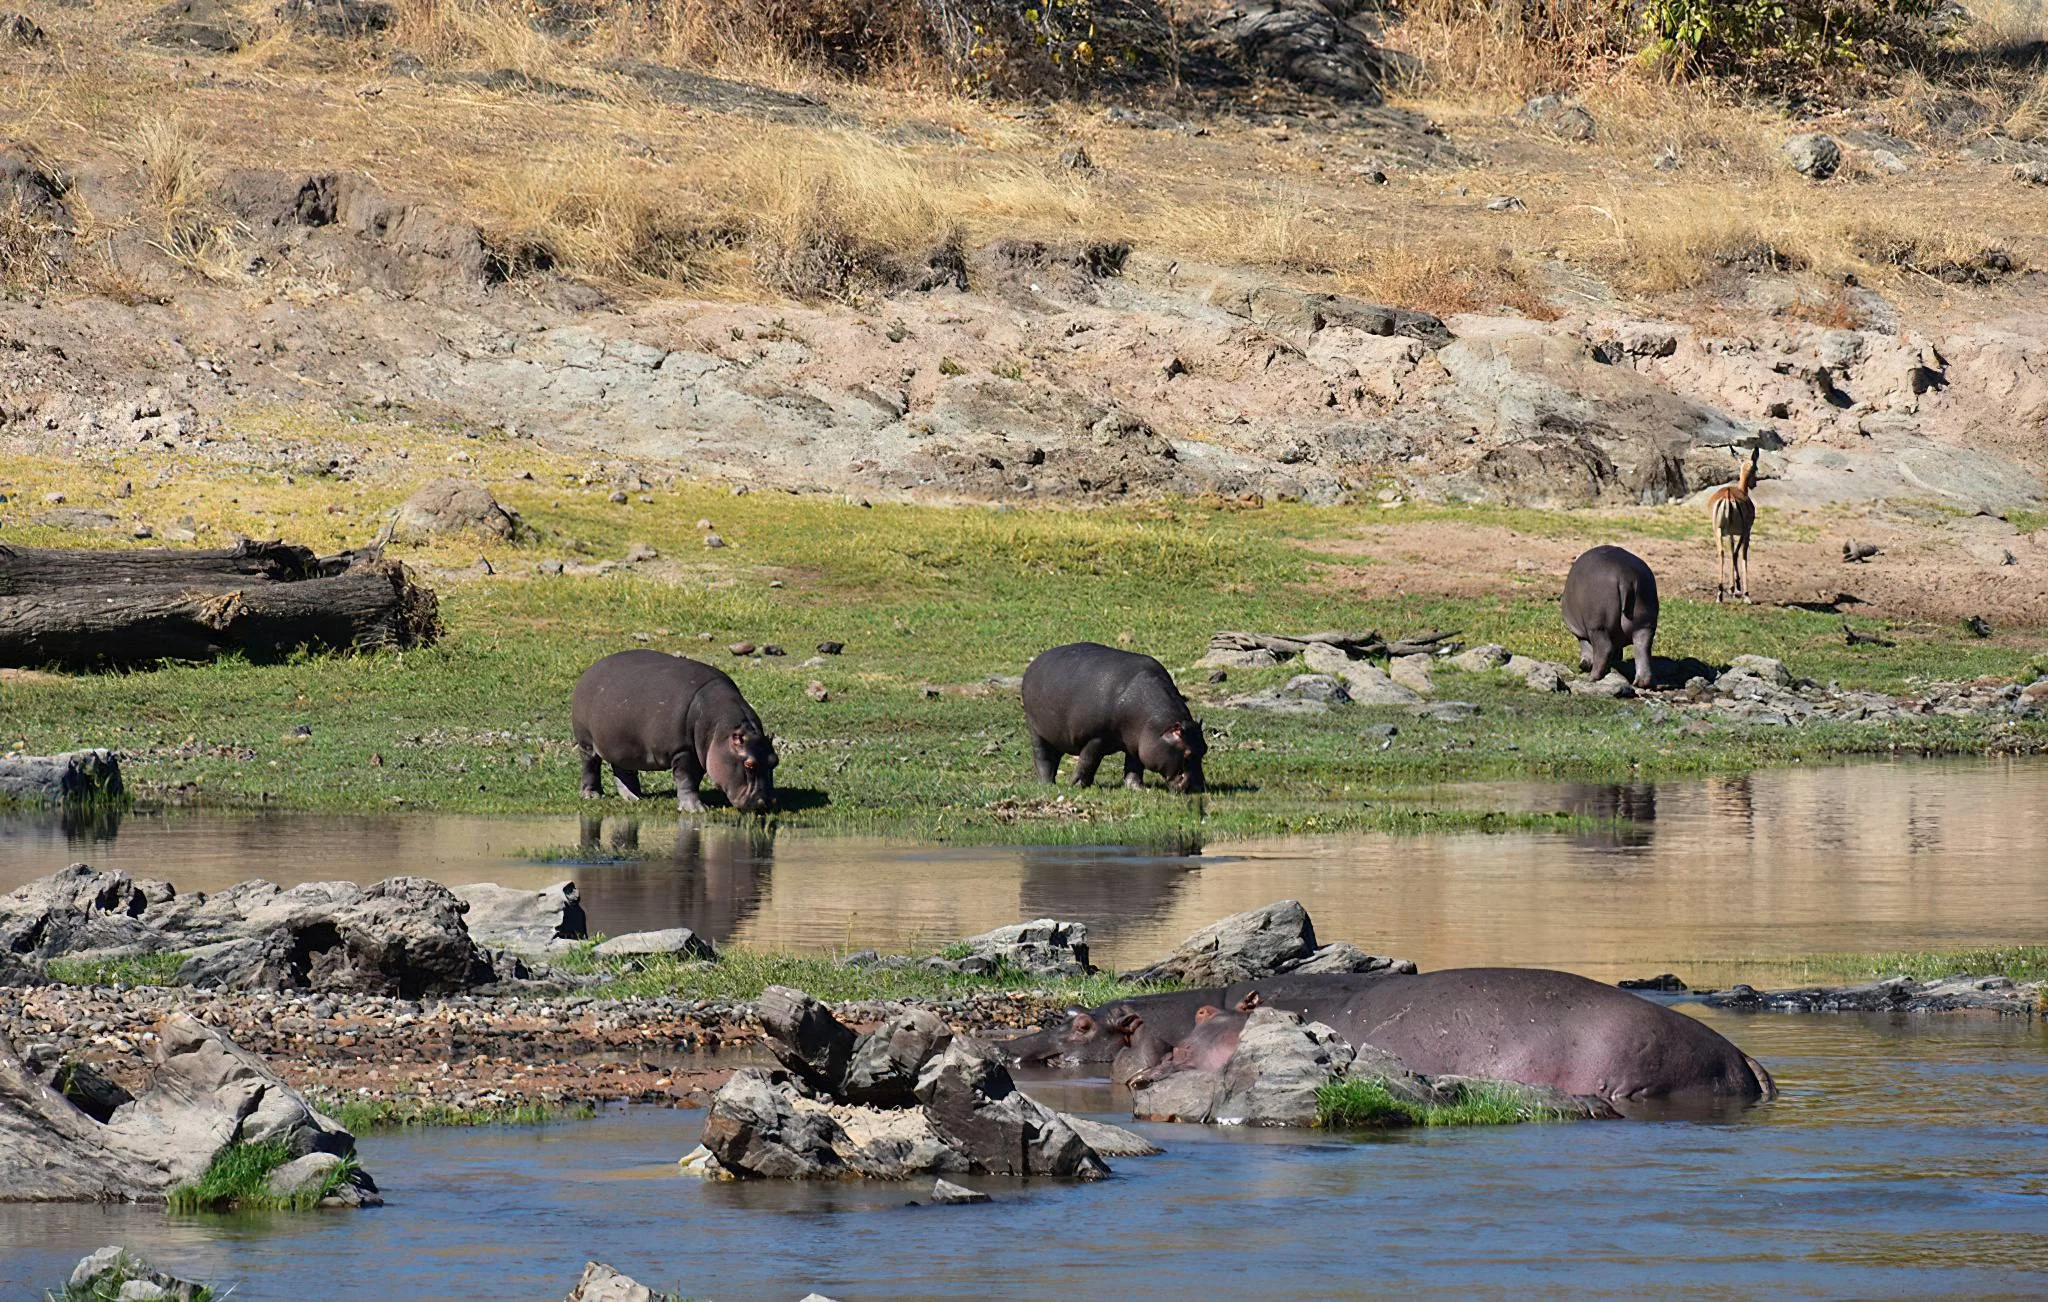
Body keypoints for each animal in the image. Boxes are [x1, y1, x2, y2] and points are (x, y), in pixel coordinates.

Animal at [571, 650, 778, 814]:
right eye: (749, 765)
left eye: (775, 761)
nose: (766, 803)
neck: (722, 731)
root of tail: (591, 669)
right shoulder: (683, 750)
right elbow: (686, 779)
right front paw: (696, 810)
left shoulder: (698, 755)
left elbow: (693, 780)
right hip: (586, 742)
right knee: (590, 765)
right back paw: (592, 795)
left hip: (624, 744)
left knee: (623, 770)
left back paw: (634, 797)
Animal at [1021, 643, 1206, 793]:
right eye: (1187, 754)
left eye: (1204, 749)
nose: (1199, 787)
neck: (1156, 725)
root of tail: (1035, 663)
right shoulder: (1096, 738)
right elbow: (1088, 761)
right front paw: (1076, 785)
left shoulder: (1136, 742)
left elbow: (1134, 767)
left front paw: (1138, 789)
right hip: (1036, 730)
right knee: (1043, 758)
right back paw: (1046, 785)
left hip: (1056, 734)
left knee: (1054, 756)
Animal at [1562, 545, 1660, 689]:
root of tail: (1626, 575)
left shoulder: (1580, 632)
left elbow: (1586, 647)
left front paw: (1585, 665)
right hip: (1645, 623)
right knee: (1643, 648)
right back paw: (1642, 683)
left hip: (1598, 625)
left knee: (1604, 648)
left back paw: (1592, 677)